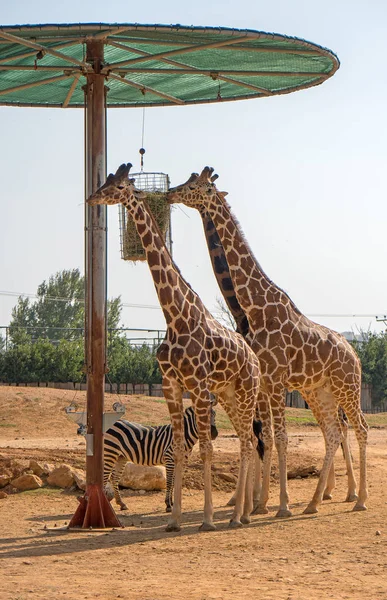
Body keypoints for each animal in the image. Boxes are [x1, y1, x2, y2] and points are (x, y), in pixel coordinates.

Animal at [88, 163, 272, 528]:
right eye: (106, 180)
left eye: (118, 185)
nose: (91, 198)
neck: (175, 317)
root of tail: (253, 358)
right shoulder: (170, 384)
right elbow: (177, 450)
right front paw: (173, 519)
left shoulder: (198, 385)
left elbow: (206, 449)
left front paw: (207, 519)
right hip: (229, 393)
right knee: (247, 440)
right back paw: (242, 512)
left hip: (246, 390)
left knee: (249, 441)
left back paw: (238, 516)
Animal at [167, 168, 370, 516]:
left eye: (196, 186)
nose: (170, 193)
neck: (253, 307)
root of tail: (354, 353)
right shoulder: (261, 383)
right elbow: (262, 437)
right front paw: (256, 502)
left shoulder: (273, 380)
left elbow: (279, 437)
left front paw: (276, 504)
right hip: (320, 391)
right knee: (333, 433)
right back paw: (315, 501)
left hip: (347, 387)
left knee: (359, 428)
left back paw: (357, 498)